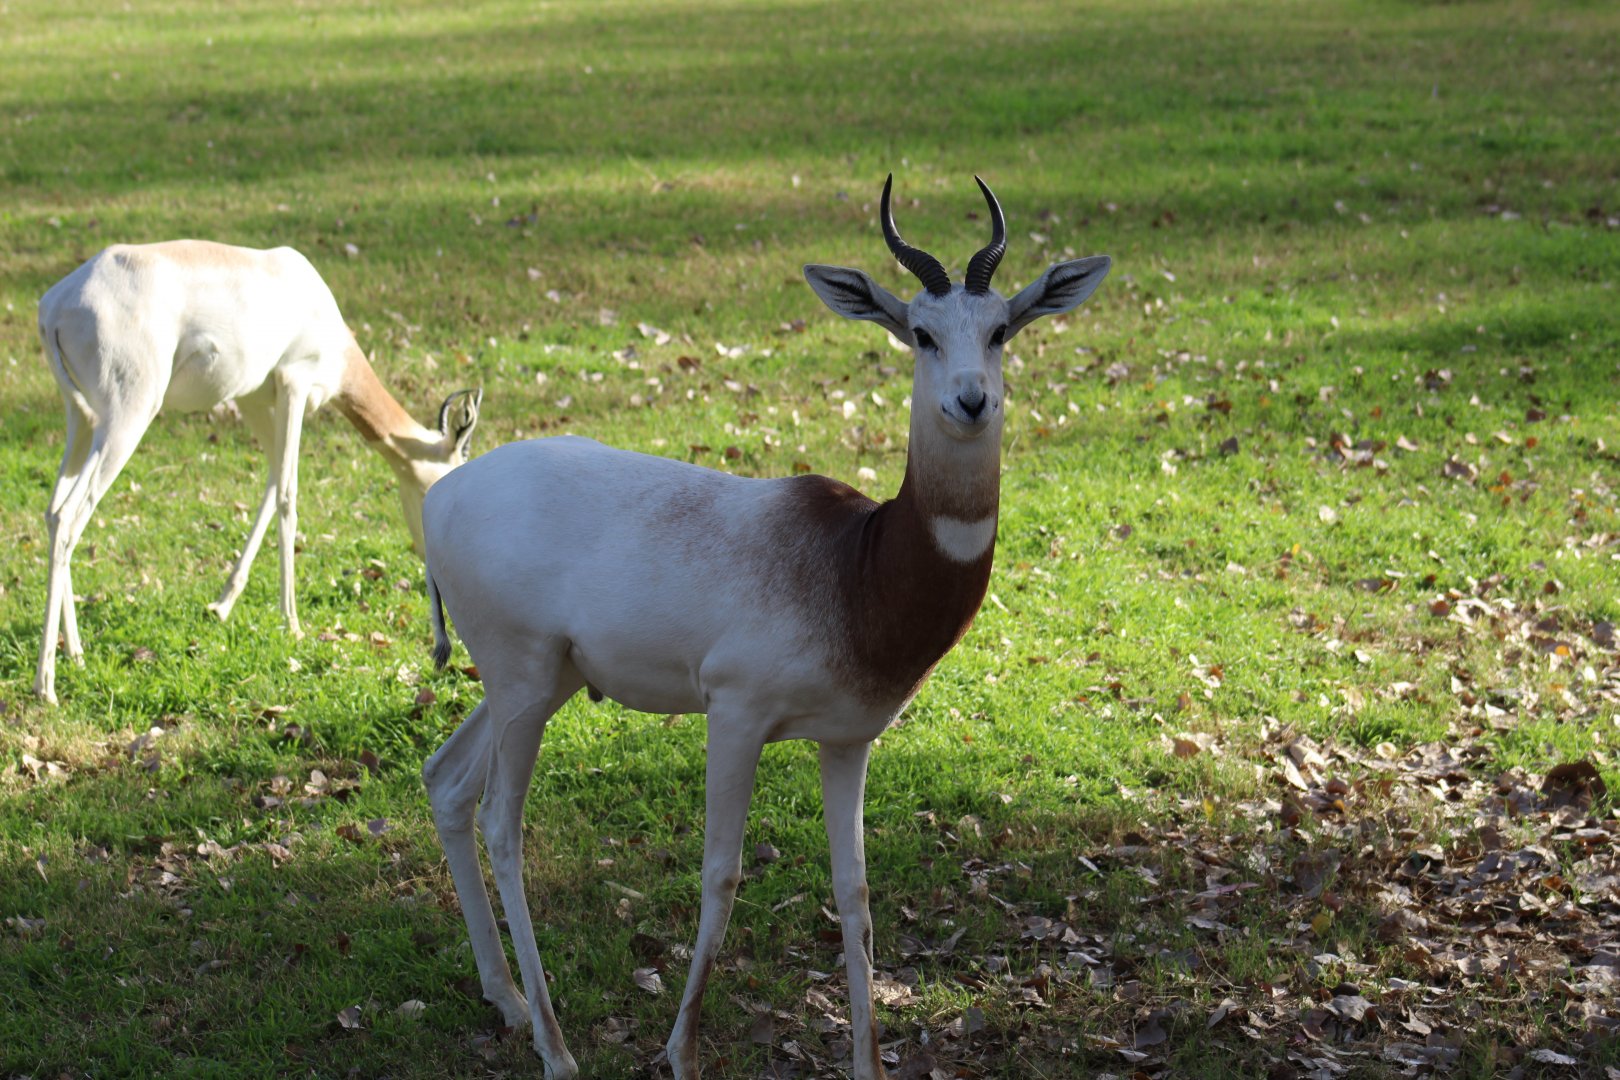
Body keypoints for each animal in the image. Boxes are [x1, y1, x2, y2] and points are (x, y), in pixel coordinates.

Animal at [34, 240, 482, 705]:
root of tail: (56, 305)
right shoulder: (294, 384)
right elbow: (287, 495)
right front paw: (293, 624)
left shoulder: (251, 399)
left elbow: (269, 486)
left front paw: (222, 604)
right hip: (126, 417)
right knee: (69, 517)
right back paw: (46, 684)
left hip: (82, 421)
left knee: (52, 511)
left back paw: (75, 653)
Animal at [420, 176, 1109, 1079]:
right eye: (921, 333)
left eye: (1001, 330)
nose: (971, 399)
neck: (857, 568)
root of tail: (440, 494)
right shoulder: (736, 713)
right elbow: (721, 875)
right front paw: (681, 1052)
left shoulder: (848, 740)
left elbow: (855, 894)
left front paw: (868, 1063)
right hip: (523, 678)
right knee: (502, 822)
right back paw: (556, 1048)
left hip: (542, 682)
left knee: (447, 782)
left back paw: (504, 1001)